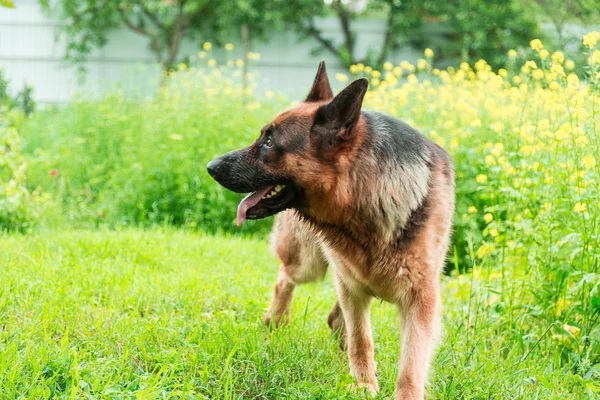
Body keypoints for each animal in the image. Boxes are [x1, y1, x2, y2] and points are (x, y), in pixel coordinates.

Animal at [206, 61, 454, 398]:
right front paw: (364, 386)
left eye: (269, 143)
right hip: (308, 265)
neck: (366, 196)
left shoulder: (420, 300)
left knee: (335, 320)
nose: (211, 166)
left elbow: (411, 364)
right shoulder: (351, 287)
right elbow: (362, 340)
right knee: (285, 279)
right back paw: (277, 321)